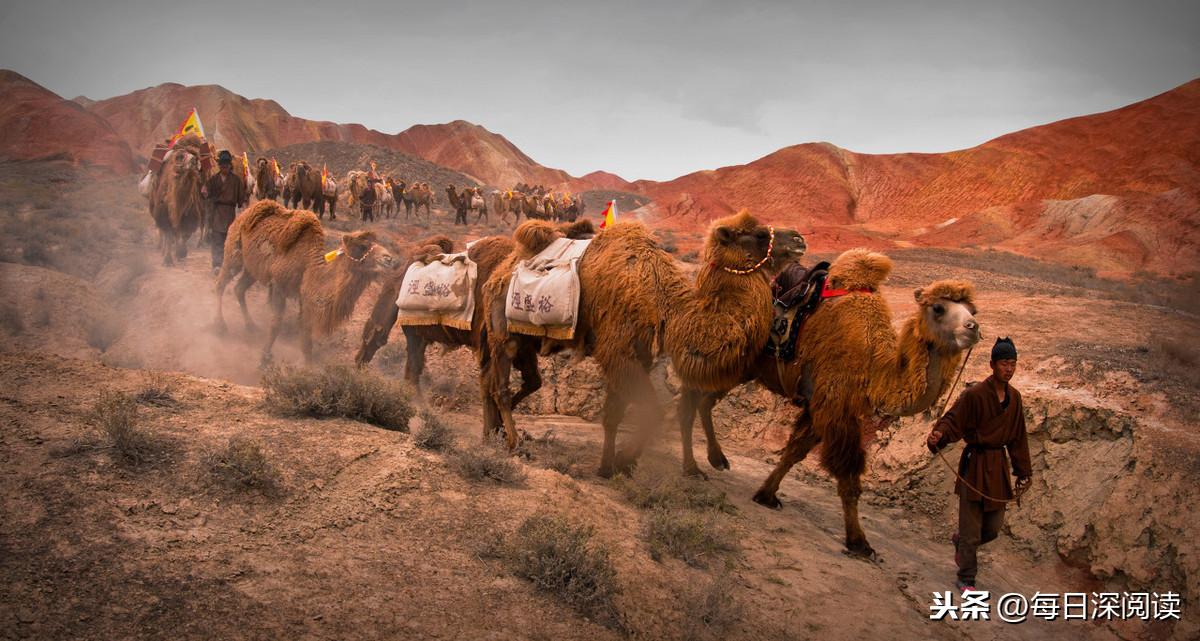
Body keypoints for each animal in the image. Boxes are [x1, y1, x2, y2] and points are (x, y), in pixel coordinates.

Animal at [148, 134, 205, 267]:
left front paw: (180, 253)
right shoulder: (164, 214)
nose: (193, 161)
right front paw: (168, 260)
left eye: (196, 155)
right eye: (181, 156)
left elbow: (185, 234)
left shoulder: (190, 216)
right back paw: (163, 251)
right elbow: (168, 234)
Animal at [216, 201, 398, 364]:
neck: (310, 267)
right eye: (362, 247)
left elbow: (306, 332)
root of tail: (246, 212)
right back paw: (220, 325)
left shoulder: (304, 296)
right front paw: (265, 358)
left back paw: (250, 326)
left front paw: (307, 366)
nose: (389, 259)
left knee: (239, 288)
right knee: (221, 283)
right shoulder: (279, 285)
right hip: (234, 252)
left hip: (252, 267)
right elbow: (276, 323)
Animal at [480, 216, 806, 472]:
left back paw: (493, 432)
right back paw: (513, 443)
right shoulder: (618, 351)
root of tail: (499, 271)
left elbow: (615, 413)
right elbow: (653, 412)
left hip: (526, 341)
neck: (665, 302)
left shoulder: (639, 354)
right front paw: (624, 460)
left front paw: (608, 466)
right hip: (503, 332)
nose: (799, 239)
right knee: (500, 387)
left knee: (500, 381)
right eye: (760, 234)